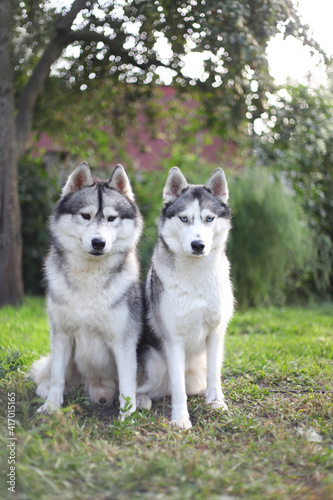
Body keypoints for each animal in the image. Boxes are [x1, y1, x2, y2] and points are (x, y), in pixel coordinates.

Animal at [31, 162, 144, 416]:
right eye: (86, 216)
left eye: (111, 218)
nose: (98, 243)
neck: (89, 277)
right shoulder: (61, 334)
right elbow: (57, 377)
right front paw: (51, 406)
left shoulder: (123, 341)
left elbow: (127, 384)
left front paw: (127, 417)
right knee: (50, 372)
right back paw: (44, 389)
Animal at [136, 168, 232, 430]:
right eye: (184, 219)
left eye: (209, 219)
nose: (198, 245)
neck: (196, 278)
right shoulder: (173, 340)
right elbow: (178, 388)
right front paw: (180, 418)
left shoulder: (216, 333)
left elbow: (214, 375)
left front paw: (216, 402)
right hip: (154, 365)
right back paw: (139, 400)